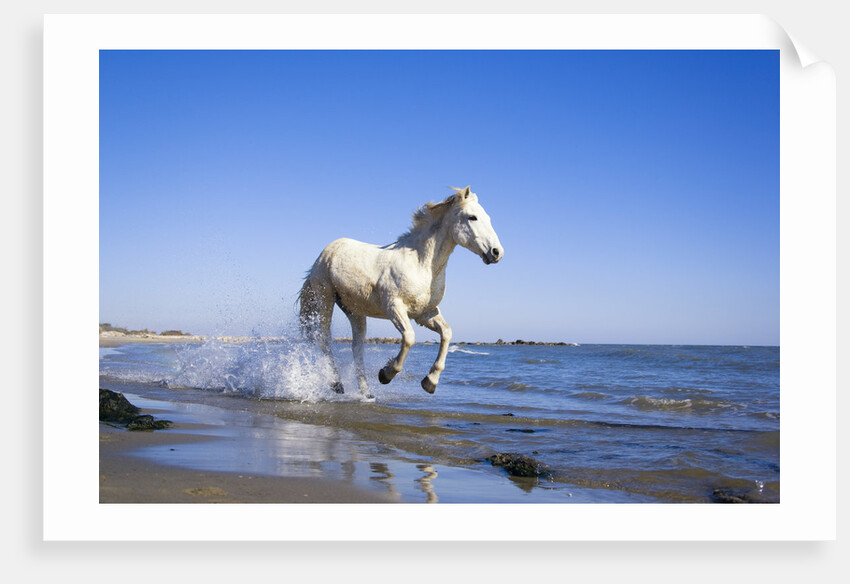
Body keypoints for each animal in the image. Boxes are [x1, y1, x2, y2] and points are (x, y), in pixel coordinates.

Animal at [298, 186, 503, 398]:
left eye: (488, 218)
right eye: (472, 217)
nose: (497, 252)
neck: (421, 264)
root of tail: (326, 252)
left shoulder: (425, 313)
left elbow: (447, 333)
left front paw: (430, 382)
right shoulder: (394, 307)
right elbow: (409, 338)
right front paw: (385, 374)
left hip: (355, 311)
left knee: (357, 348)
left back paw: (367, 393)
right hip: (325, 299)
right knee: (324, 340)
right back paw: (337, 384)